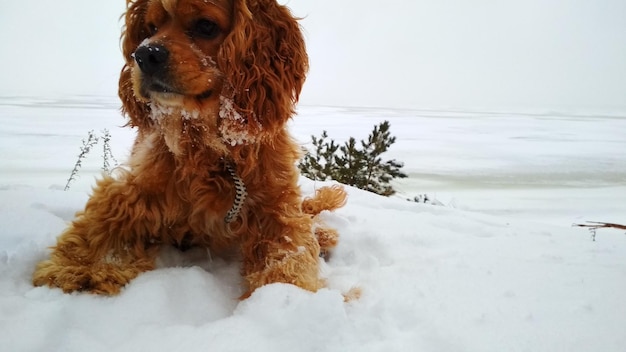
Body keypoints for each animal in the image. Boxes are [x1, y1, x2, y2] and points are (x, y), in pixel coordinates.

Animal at [31, 0, 346, 300]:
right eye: (150, 28)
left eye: (205, 25)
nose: (144, 55)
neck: (214, 148)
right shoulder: (136, 190)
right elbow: (103, 224)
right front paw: (81, 268)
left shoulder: (275, 205)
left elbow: (288, 252)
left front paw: (281, 295)